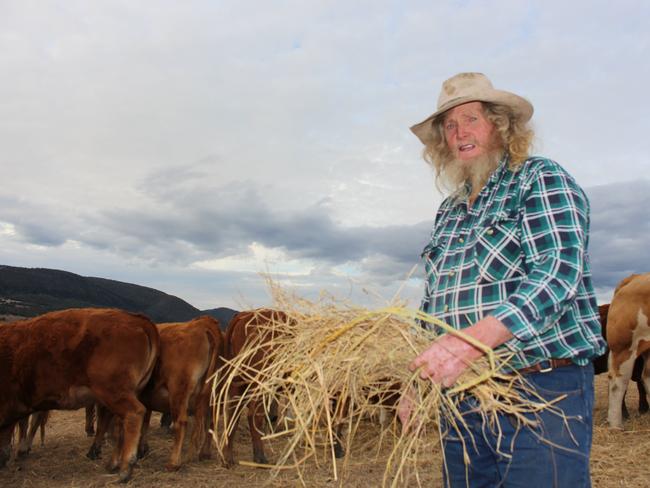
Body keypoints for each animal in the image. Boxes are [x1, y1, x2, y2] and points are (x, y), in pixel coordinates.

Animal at [0, 306, 158, 482]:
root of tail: (137, 319)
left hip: (114, 393)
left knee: (134, 413)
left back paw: (125, 469)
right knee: (121, 424)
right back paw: (112, 463)